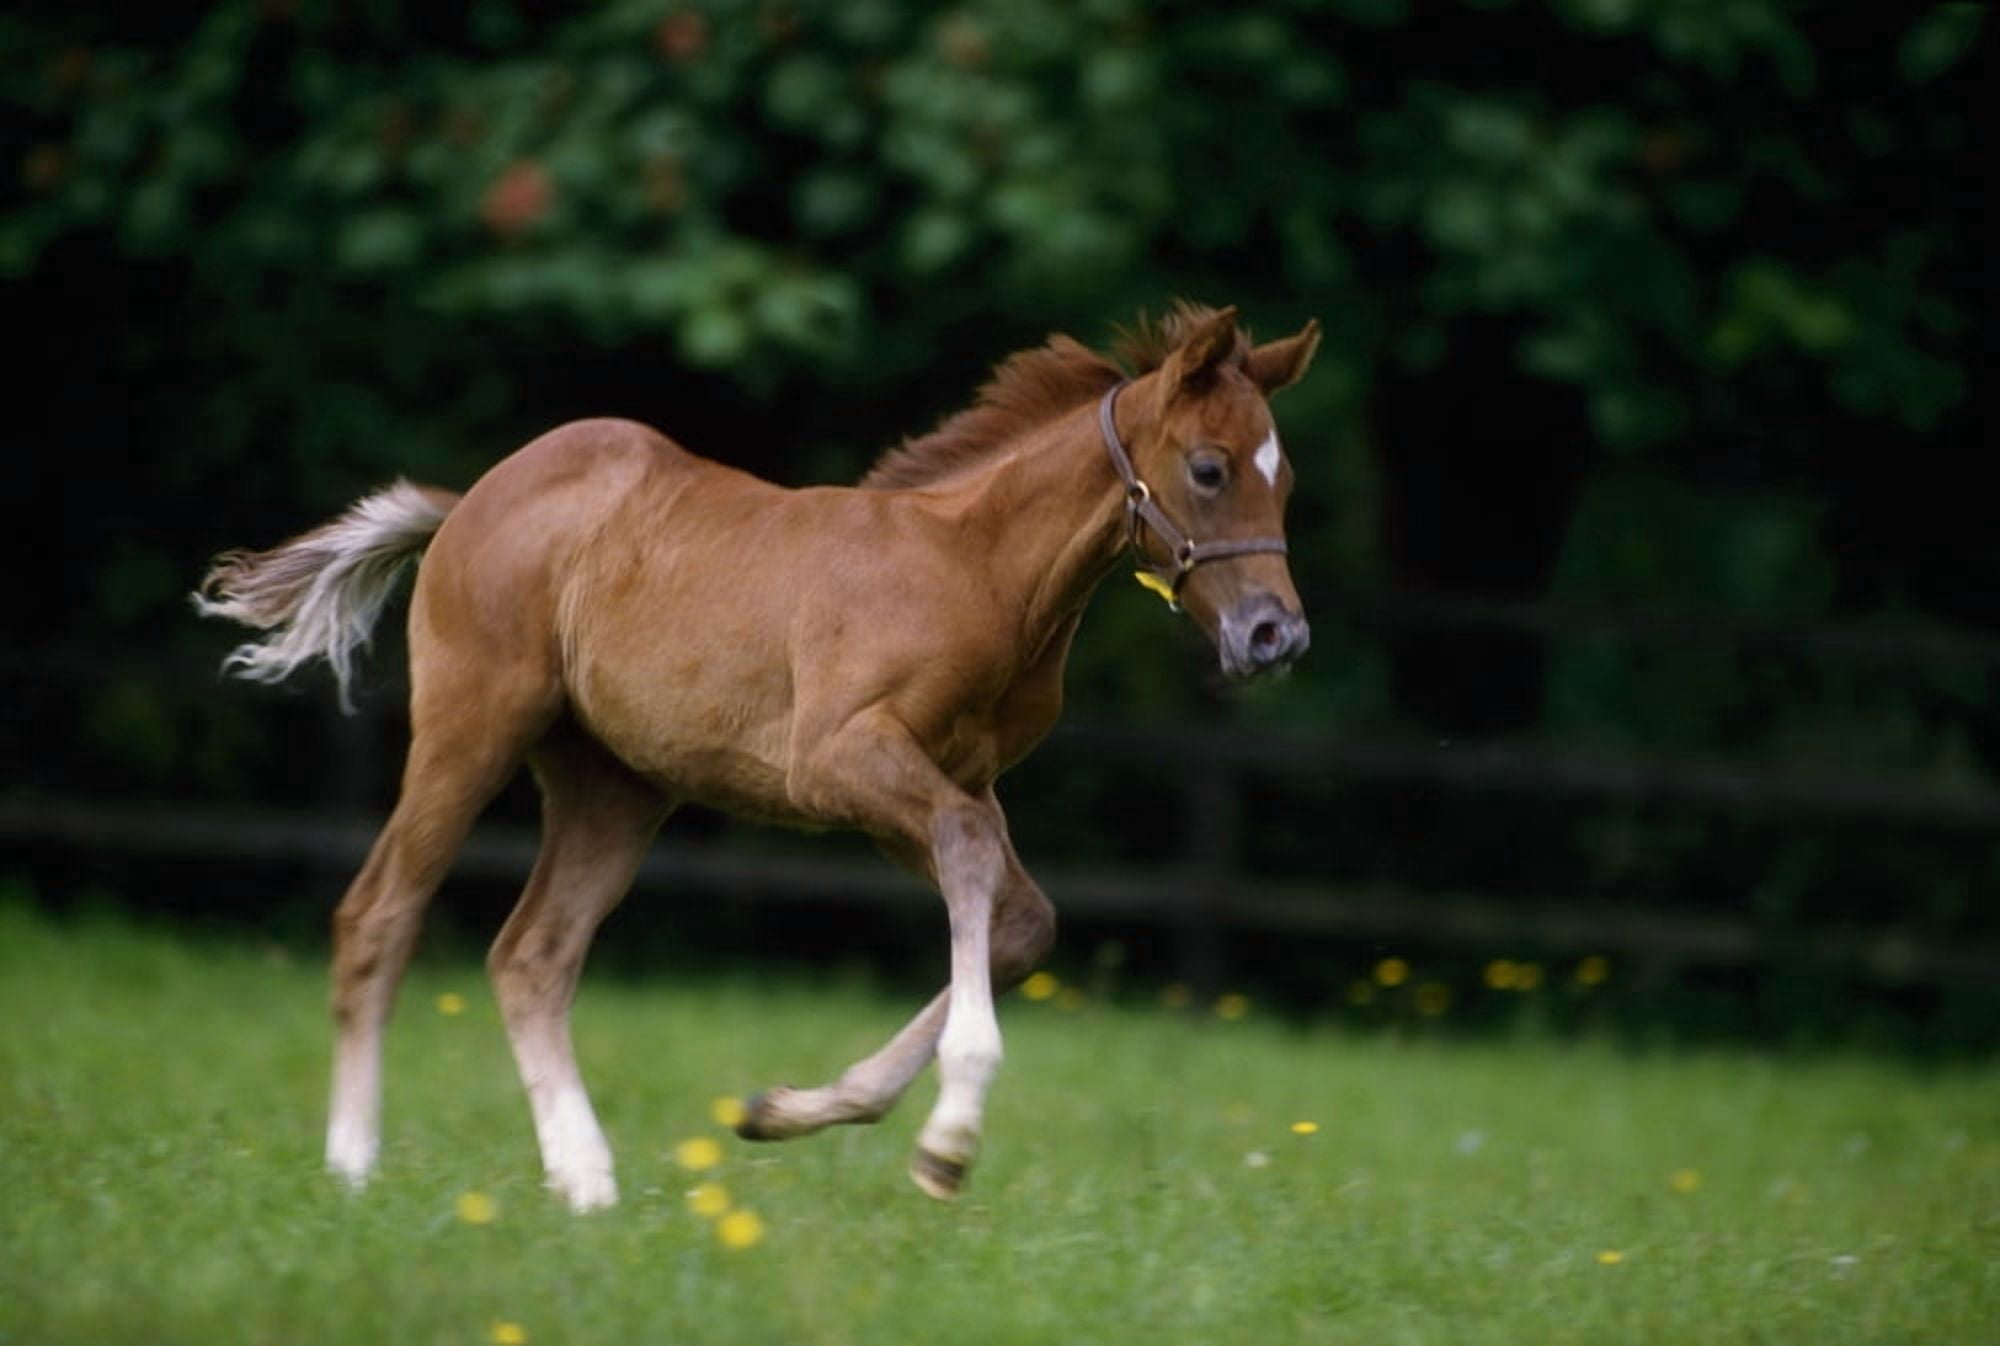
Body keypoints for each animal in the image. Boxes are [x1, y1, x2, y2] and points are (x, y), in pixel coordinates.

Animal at [194, 302, 1320, 1210]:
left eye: (1286, 481)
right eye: (1210, 469)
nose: (1276, 637)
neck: (979, 570)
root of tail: (471, 498)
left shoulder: (939, 782)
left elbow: (1017, 917)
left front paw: (785, 1109)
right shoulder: (842, 759)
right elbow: (969, 860)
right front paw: (950, 1137)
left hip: (615, 787)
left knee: (531, 954)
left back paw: (586, 1180)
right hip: (473, 727)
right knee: (378, 915)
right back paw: (354, 1164)